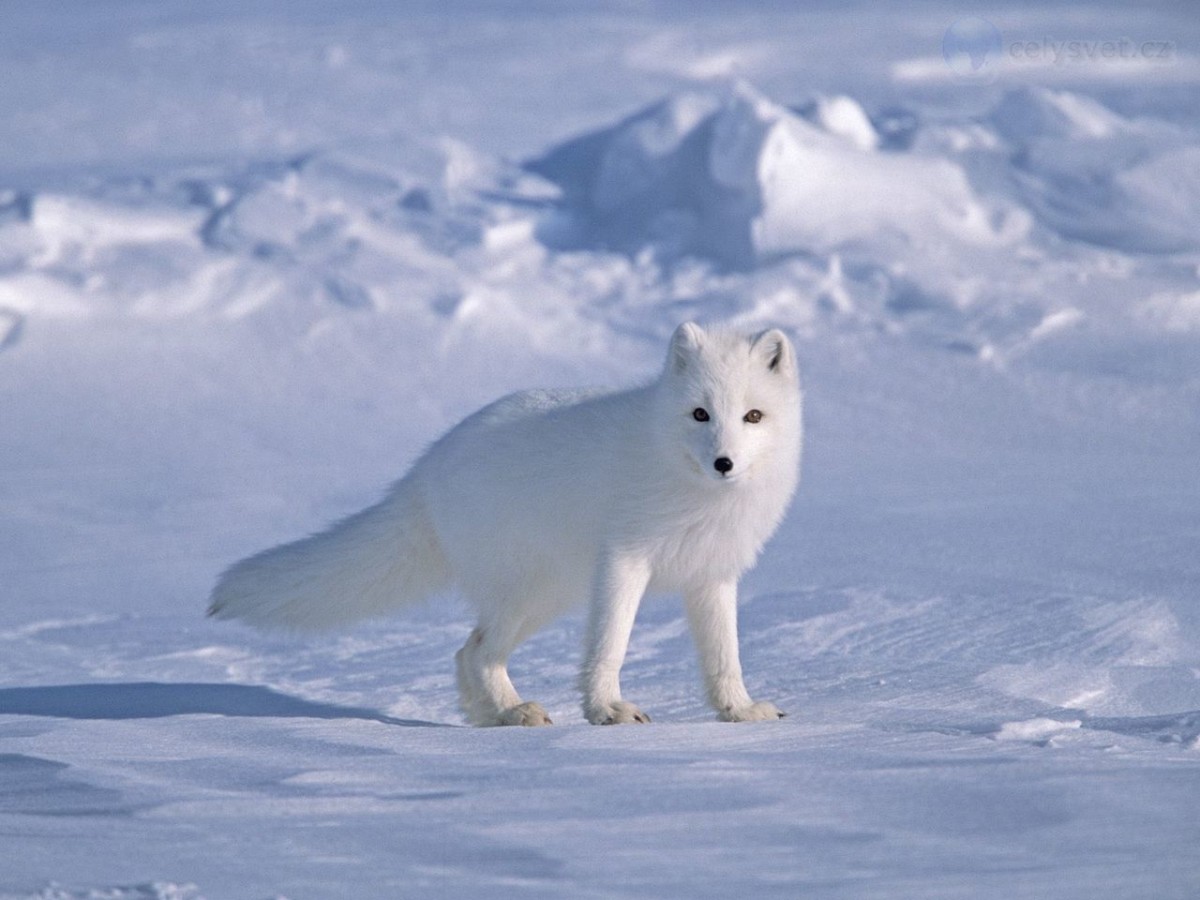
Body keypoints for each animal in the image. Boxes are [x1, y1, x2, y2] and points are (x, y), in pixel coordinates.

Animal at [210, 324, 801, 724]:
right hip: (529, 592)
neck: (693, 489)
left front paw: (739, 711)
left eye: (752, 416)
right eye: (700, 414)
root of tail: (426, 468)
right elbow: (609, 644)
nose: (724, 462)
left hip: (547, 596)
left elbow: (725, 656)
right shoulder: (624, 560)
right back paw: (512, 712)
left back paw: (491, 716)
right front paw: (607, 710)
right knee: (476, 650)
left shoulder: (713, 575)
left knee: (466, 651)